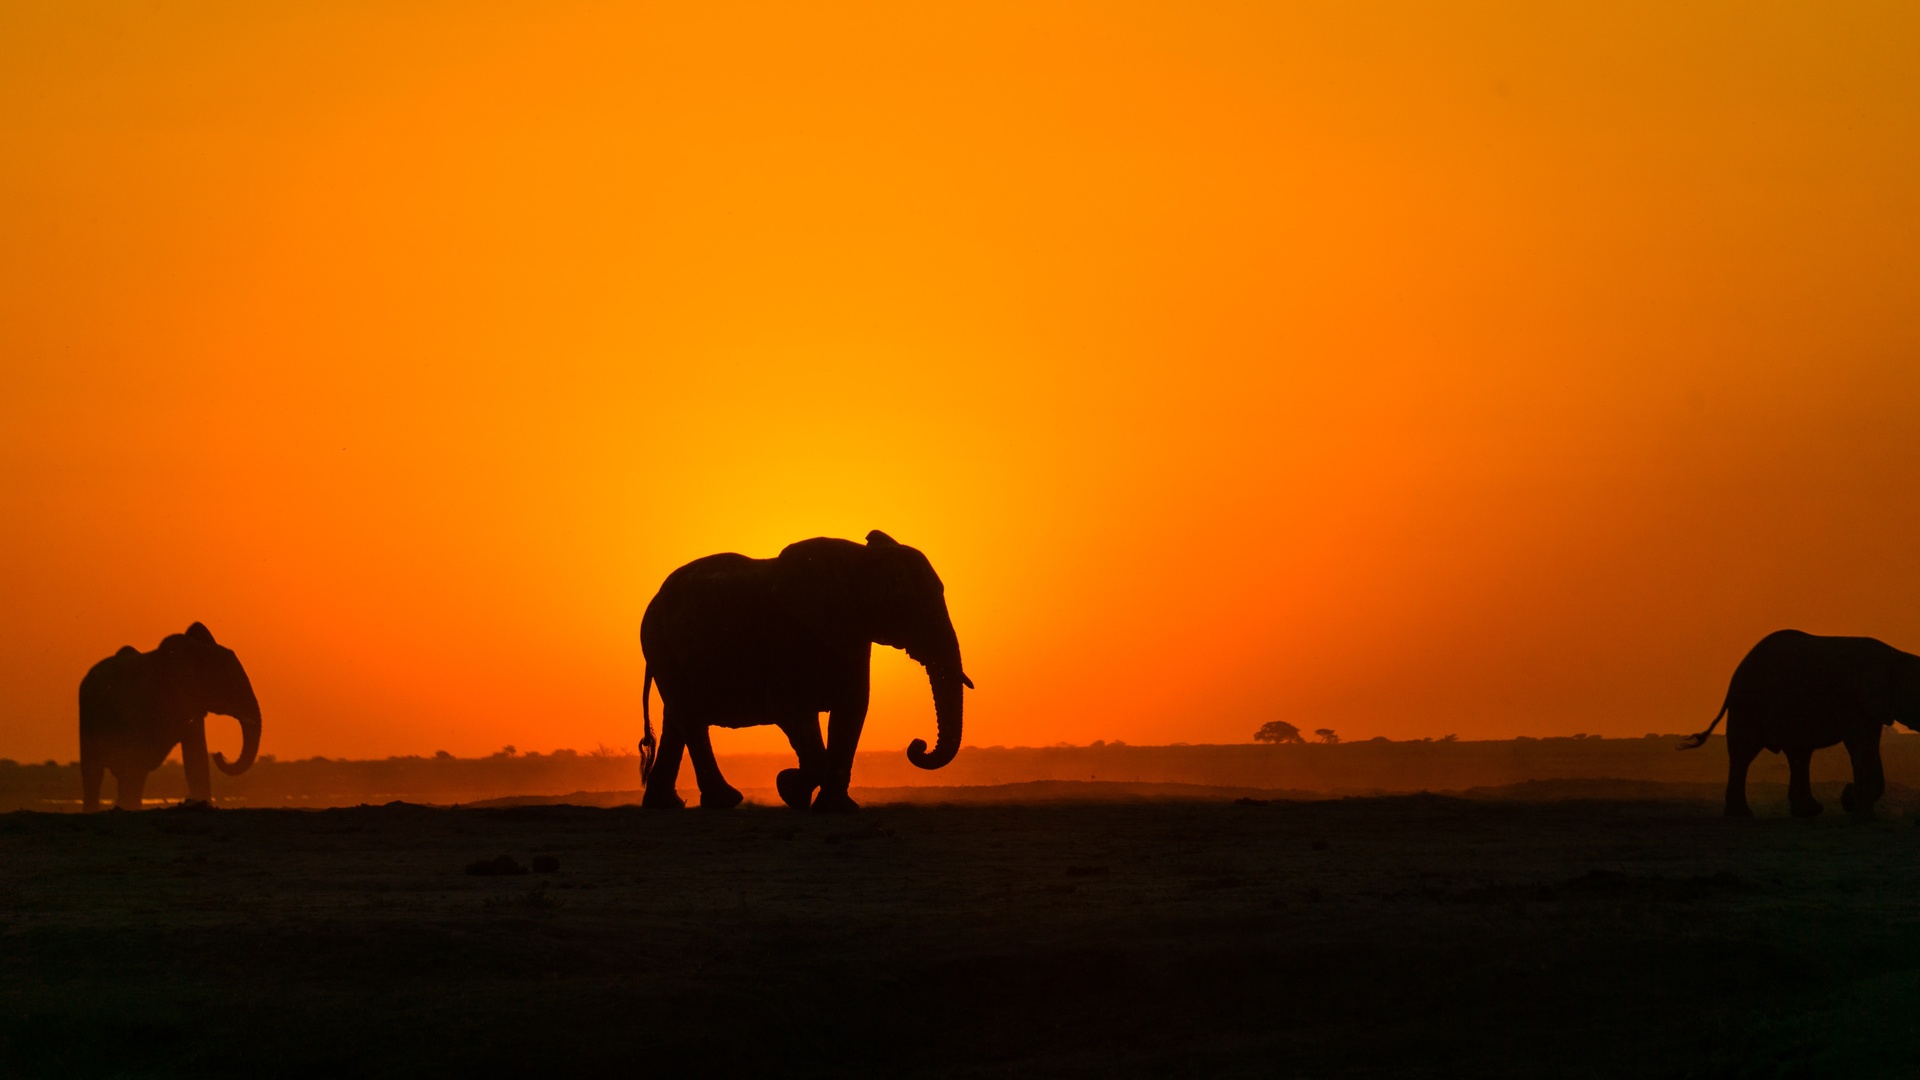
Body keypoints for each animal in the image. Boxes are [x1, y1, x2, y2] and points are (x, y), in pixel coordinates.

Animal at [645, 530, 975, 807]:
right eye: (905, 602)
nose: (917, 745)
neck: (859, 560)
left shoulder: (852, 634)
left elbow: (851, 709)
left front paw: (835, 808)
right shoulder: (791, 633)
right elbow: (789, 706)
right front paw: (789, 788)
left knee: (676, 719)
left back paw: (666, 805)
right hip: (659, 645)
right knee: (690, 717)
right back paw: (724, 801)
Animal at [1681, 622, 1920, 814]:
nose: (1846, 795)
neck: (1895, 655)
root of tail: (1733, 679)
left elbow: (1866, 743)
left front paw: (1851, 801)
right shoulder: (1853, 699)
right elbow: (1861, 744)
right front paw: (1854, 805)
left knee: (1799, 753)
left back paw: (1807, 812)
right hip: (1748, 703)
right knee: (1744, 753)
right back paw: (1741, 815)